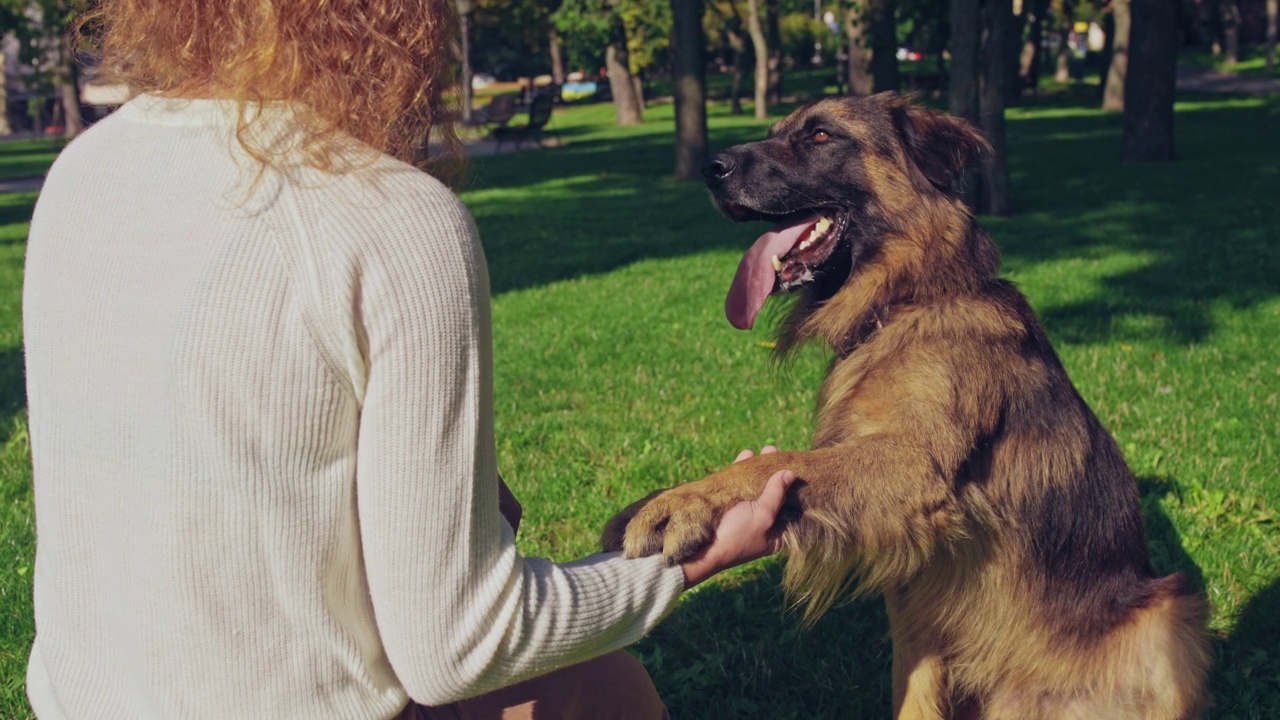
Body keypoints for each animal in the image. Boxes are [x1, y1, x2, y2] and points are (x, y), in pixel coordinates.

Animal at [601, 92, 1208, 712]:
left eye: (820, 135)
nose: (710, 168)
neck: (904, 306)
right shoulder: (912, 595)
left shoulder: (917, 465)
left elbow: (775, 463)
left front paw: (681, 501)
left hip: (1176, 614)